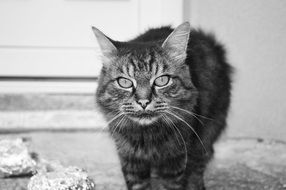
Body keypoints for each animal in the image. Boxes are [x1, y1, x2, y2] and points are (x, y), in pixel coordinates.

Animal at [93, 21, 232, 189]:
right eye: (124, 82)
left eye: (162, 80)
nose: (143, 101)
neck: (148, 136)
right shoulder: (130, 158)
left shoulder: (176, 159)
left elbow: (171, 184)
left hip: (206, 133)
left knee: (199, 165)